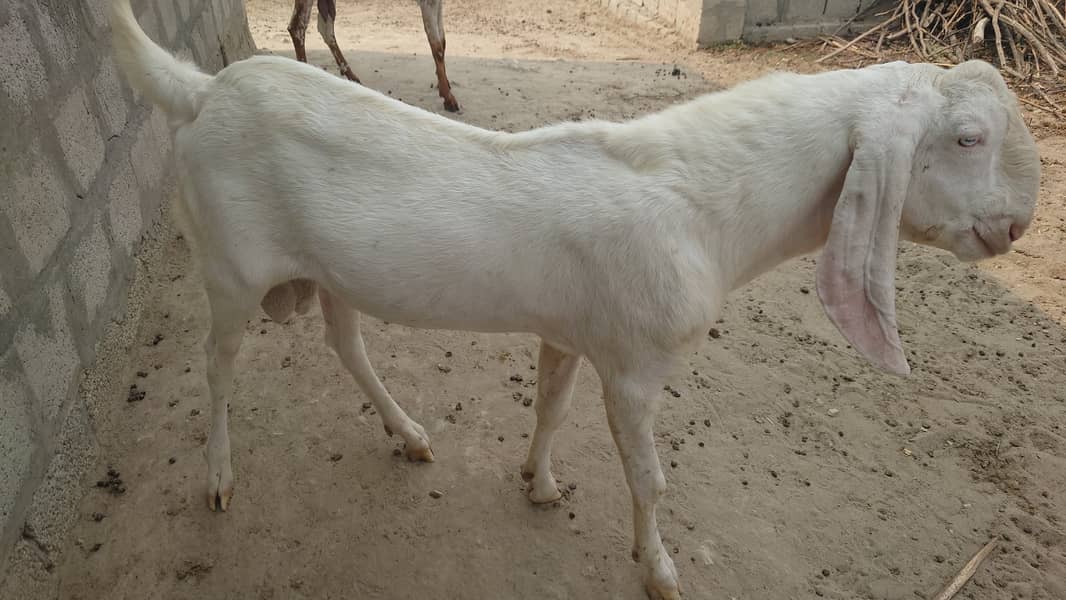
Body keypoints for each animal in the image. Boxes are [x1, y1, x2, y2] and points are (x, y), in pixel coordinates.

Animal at [112, 2, 1036, 596]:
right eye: (967, 139)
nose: (1016, 228)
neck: (704, 207)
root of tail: (202, 91)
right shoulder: (634, 367)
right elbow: (651, 479)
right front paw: (658, 572)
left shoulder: (568, 334)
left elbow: (550, 408)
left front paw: (539, 483)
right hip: (231, 272)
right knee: (216, 368)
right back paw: (220, 478)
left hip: (329, 273)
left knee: (347, 346)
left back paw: (410, 435)